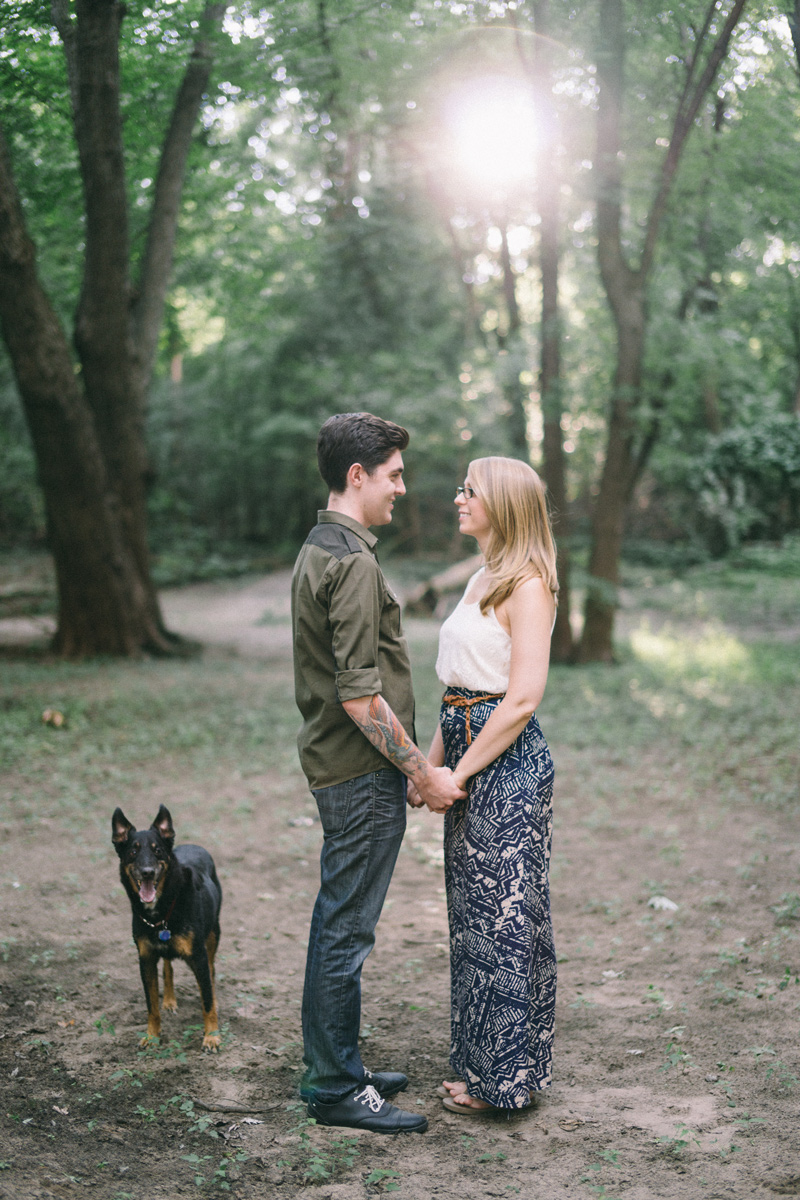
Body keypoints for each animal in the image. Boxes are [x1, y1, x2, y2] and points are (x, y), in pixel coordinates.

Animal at [110, 806, 221, 1051]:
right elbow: (151, 1006)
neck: (161, 913)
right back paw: (169, 1000)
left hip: (213, 935)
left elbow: (207, 1001)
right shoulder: (146, 958)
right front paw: (152, 1036)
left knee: (211, 972)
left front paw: (212, 1036)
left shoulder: (198, 956)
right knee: (168, 967)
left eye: (158, 851)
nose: (147, 872)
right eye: (133, 852)